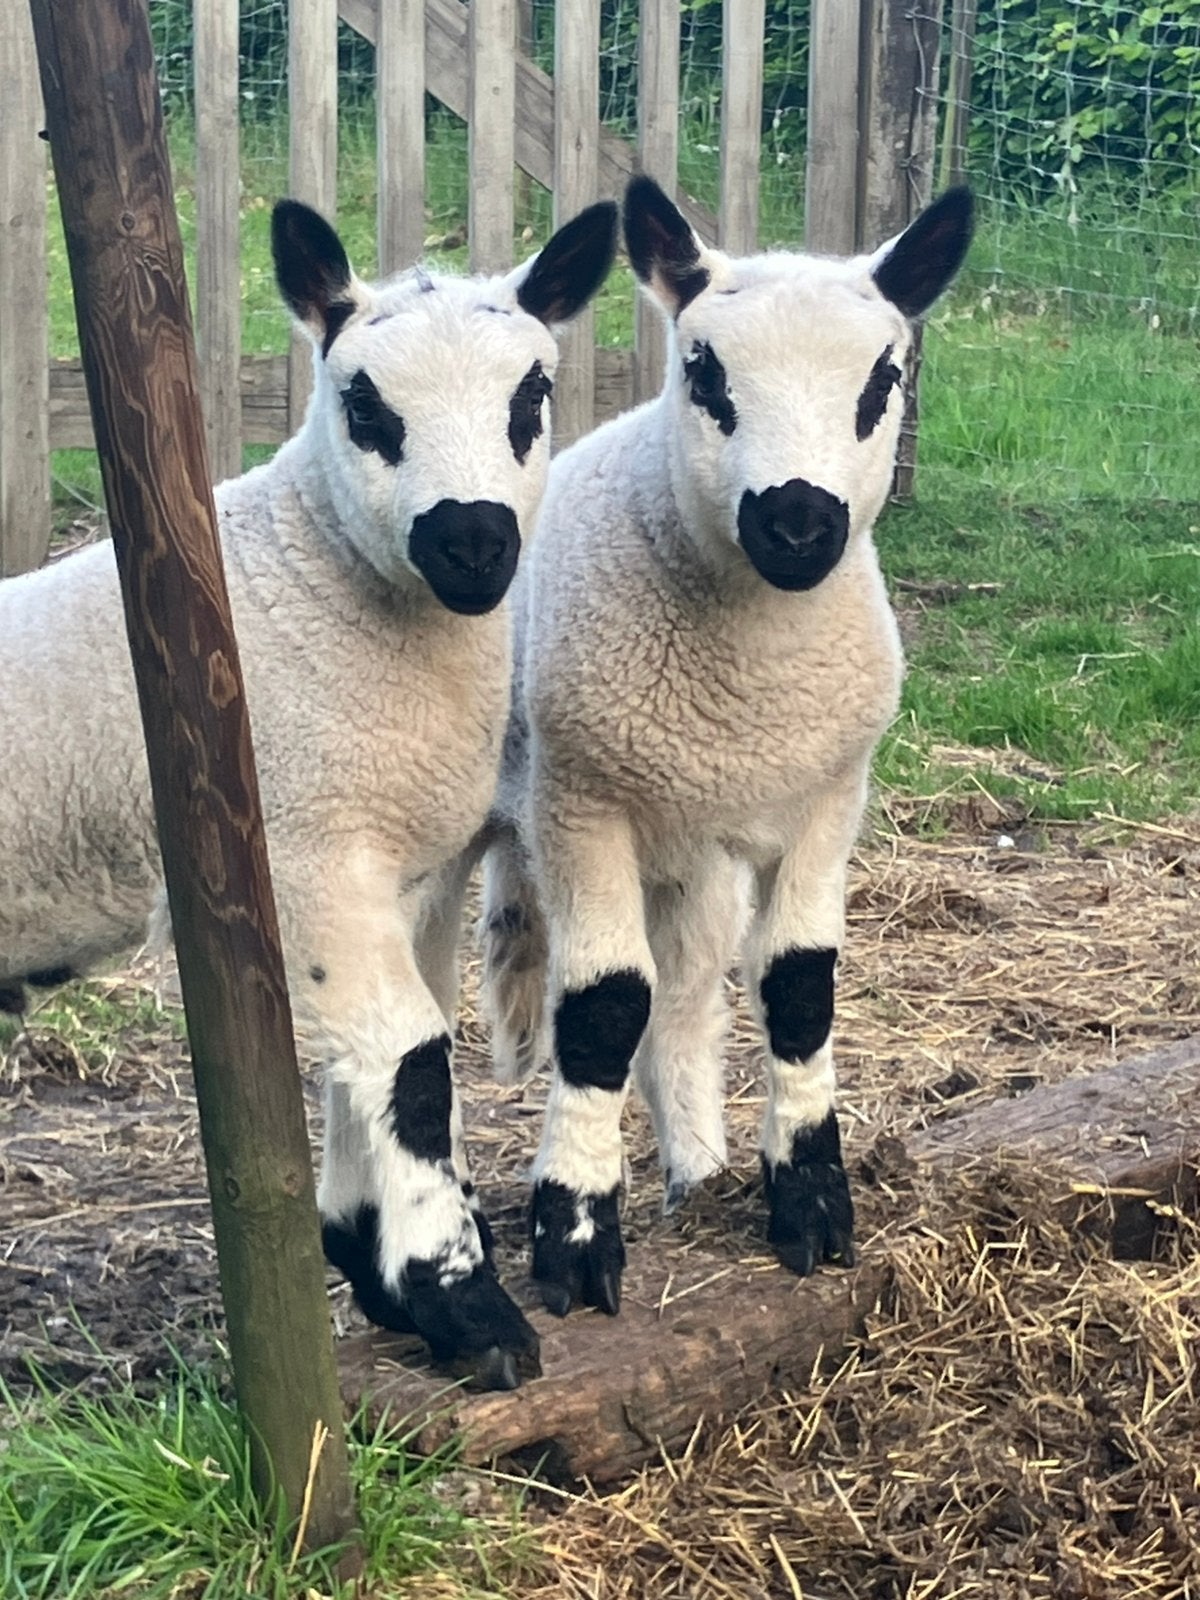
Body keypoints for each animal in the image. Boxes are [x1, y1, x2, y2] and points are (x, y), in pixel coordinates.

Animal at [0, 195, 619, 1387]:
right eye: (363, 404)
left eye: (533, 394)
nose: (472, 540)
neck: (315, 578)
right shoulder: (304, 854)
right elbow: (413, 1063)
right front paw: (465, 1307)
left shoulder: (408, 873)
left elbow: (376, 1063)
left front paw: (377, 1266)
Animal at [482, 175, 974, 1318]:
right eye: (703, 370)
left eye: (885, 378)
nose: (795, 521)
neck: (743, 693)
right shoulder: (579, 804)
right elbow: (601, 1010)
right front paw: (574, 1238)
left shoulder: (830, 798)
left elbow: (796, 987)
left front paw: (810, 1202)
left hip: (693, 858)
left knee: (688, 1003)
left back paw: (696, 1173)